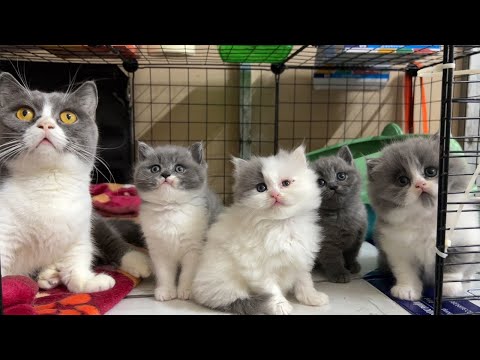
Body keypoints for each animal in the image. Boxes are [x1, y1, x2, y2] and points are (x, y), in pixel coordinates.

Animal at [0, 71, 150, 292]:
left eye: (68, 116)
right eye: (24, 113)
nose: (46, 124)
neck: (47, 182)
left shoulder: (80, 225)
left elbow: (78, 256)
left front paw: (88, 280)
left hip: (93, 219)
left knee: (110, 237)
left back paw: (139, 261)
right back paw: (49, 275)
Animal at [192, 145, 330, 314]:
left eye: (286, 183)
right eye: (261, 188)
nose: (275, 194)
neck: (281, 225)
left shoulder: (301, 257)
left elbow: (305, 281)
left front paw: (312, 298)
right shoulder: (257, 267)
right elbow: (271, 290)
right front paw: (280, 305)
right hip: (223, 283)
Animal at [310, 145, 366, 282]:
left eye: (341, 176)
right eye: (321, 182)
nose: (333, 186)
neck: (341, 212)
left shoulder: (358, 237)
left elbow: (352, 253)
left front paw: (352, 265)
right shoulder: (327, 243)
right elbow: (333, 259)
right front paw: (340, 274)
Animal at [366, 135, 478, 300]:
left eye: (430, 171)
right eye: (403, 180)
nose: (420, 184)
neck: (426, 220)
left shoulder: (463, 240)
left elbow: (453, 266)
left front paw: (449, 288)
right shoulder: (398, 249)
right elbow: (406, 272)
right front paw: (407, 290)